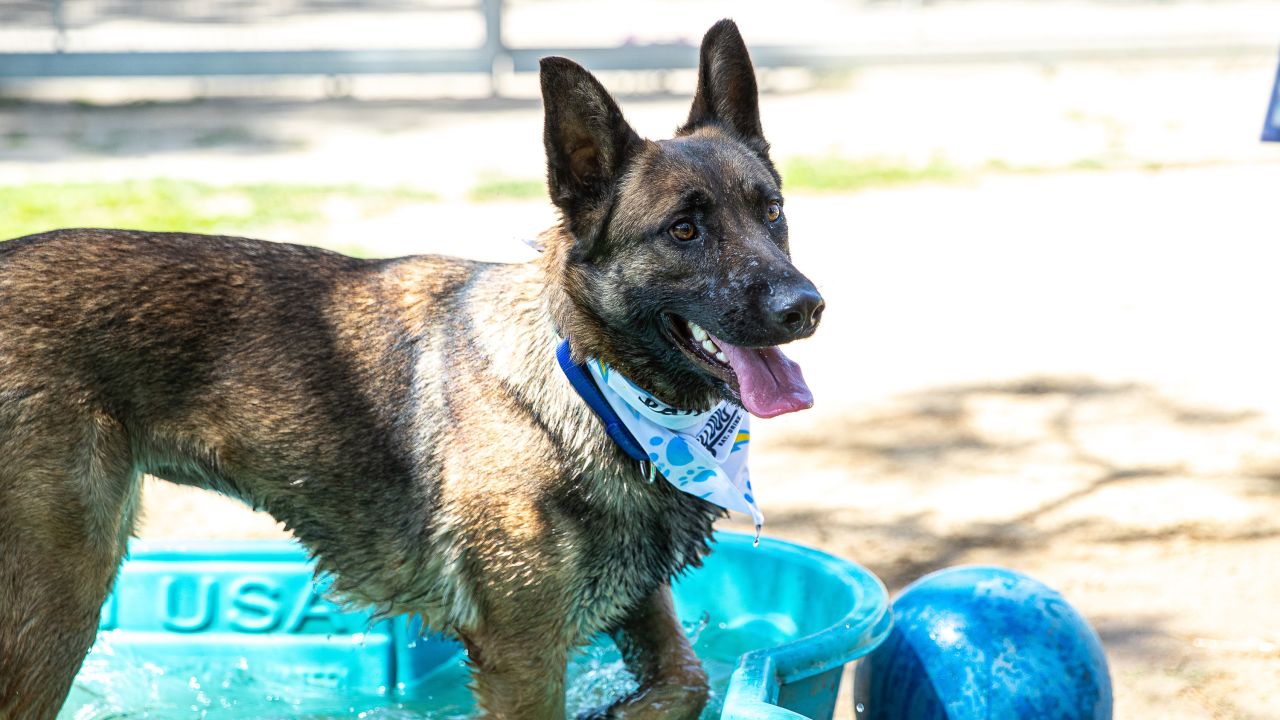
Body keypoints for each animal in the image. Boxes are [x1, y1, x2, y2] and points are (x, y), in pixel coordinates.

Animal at [0, 20, 819, 717]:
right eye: (683, 230)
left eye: (773, 211)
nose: (806, 307)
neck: (589, 386)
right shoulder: (523, 656)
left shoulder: (636, 600)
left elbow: (687, 679)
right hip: (59, 601)